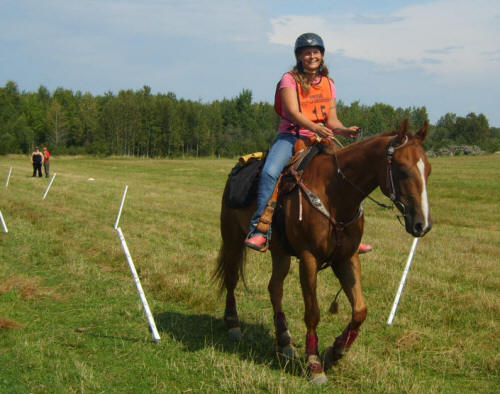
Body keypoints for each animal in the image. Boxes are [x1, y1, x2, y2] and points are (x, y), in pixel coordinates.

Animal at [213, 120, 432, 384]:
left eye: (428, 170)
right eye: (402, 169)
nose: (422, 224)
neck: (336, 194)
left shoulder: (347, 258)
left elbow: (360, 310)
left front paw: (334, 351)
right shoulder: (308, 259)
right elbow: (312, 312)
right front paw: (315, 363)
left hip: (280, 252)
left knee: (275, 288)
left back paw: (284, 341)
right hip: (232, 239)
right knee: (232, 279)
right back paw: (233, 323)